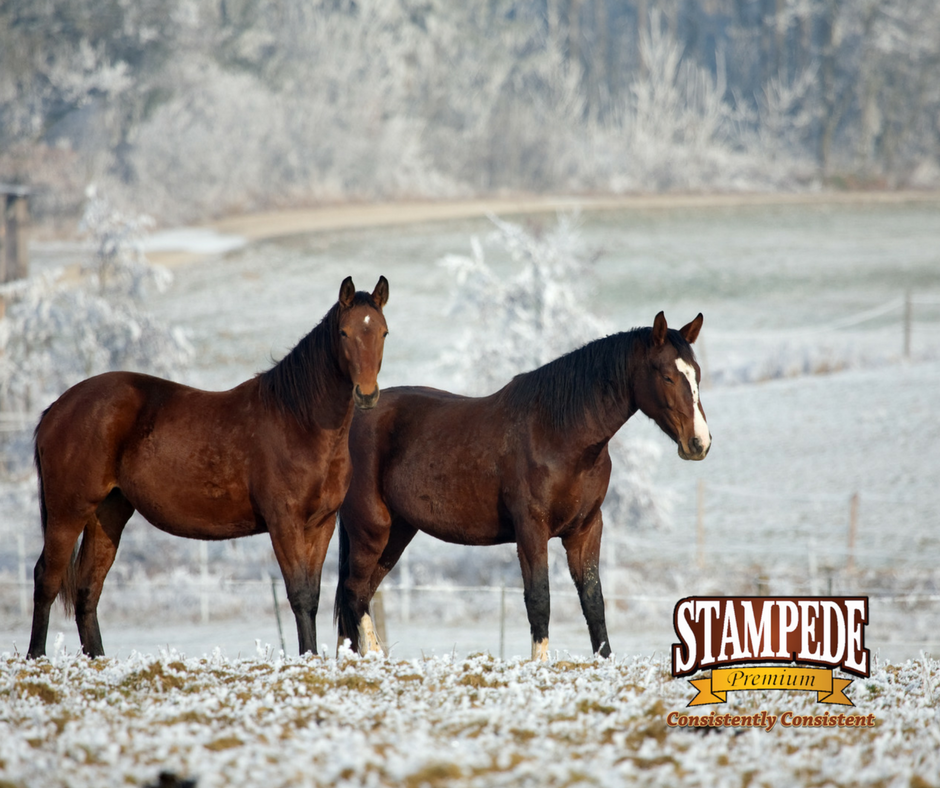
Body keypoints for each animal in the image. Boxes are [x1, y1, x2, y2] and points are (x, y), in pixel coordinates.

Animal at [27, 276, 389, 659]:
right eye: (345, 333)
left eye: (382, 332)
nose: (367, 394)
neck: (298, 421)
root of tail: (56, 408)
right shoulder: (284, 523)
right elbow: (300, 595)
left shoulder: (321, 524)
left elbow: (313, 596)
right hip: (68, 511)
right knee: (46, 578)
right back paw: (36, 657)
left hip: (107, 512)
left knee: (87, 588)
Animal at [334, 311, 710, 660]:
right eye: (667, 376)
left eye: (697, 374)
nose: (699, 443)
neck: (558, 433)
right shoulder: (531, 529)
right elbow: (539, 598)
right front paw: (539, 664)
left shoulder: (586, 529)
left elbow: (593, 600)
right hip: (371, 527)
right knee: (355, 593)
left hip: (396, 531)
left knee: (361, 593)